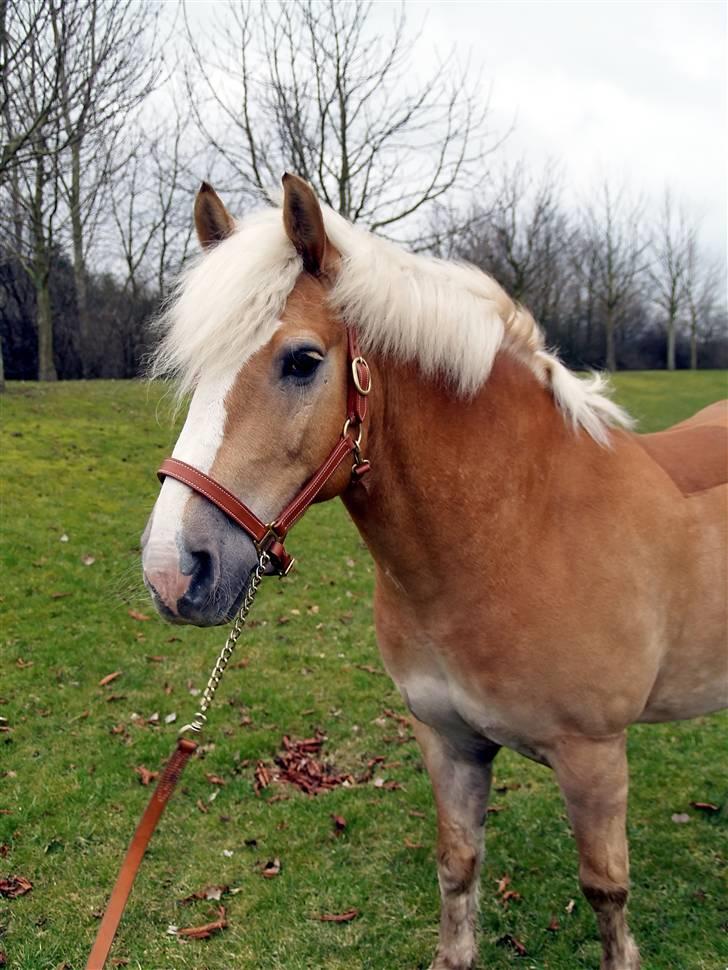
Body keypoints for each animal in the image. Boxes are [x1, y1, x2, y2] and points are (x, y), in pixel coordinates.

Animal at [142, 174, 728, 968]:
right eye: (195, 370)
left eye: (302, 360)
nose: (174, 572)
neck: (512, 531)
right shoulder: (447, 741)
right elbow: (458, 865)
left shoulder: (595, 757)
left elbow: (606, 891)